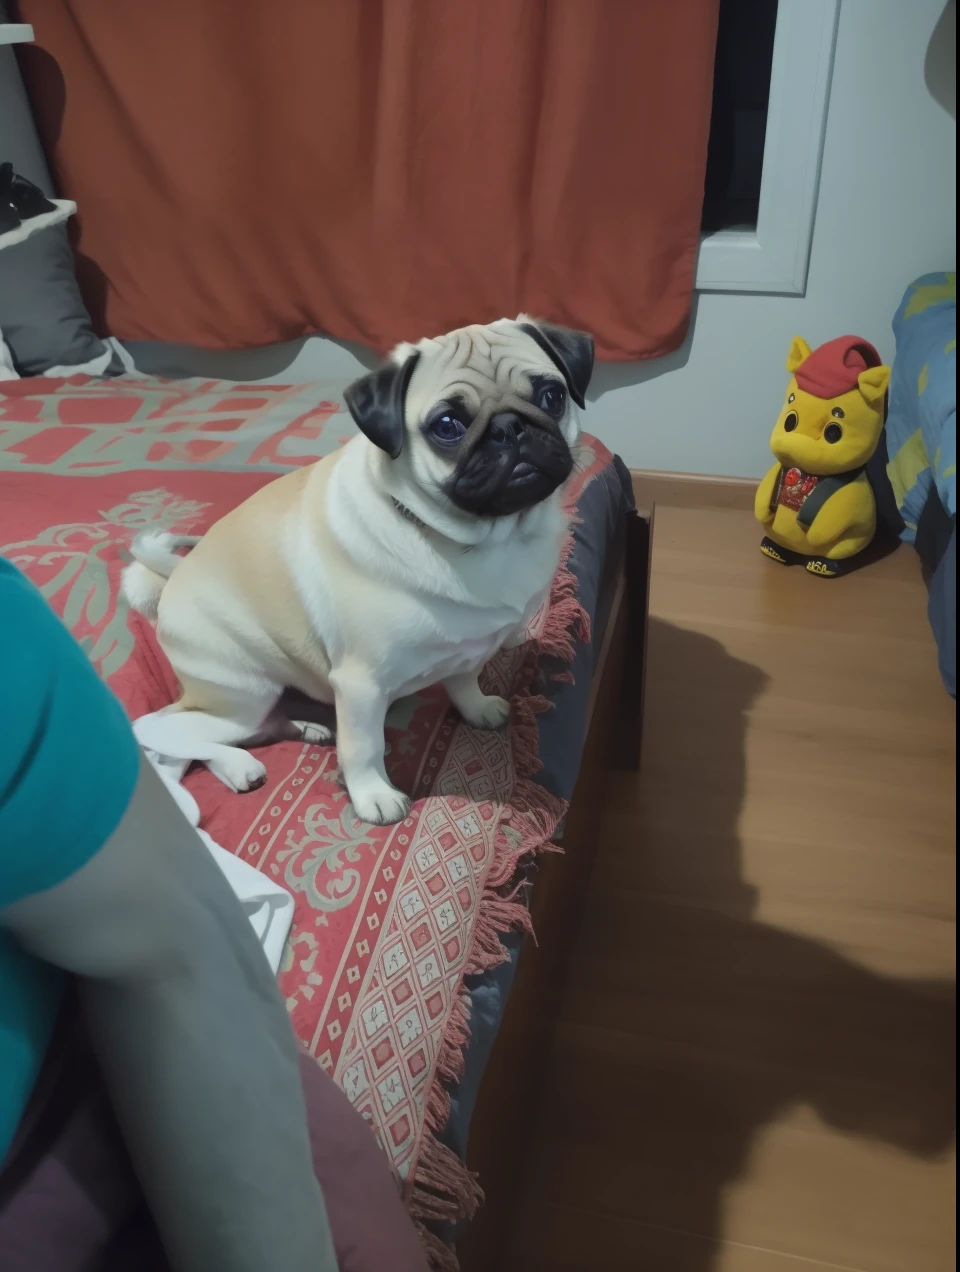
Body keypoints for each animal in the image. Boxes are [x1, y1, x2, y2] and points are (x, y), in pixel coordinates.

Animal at [122, 312, 592, 819]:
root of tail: (172, 580)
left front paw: (478, 708)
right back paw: (220, 776)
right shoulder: (360, 684)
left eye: (552, 396)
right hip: (242, 692)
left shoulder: (469, 649)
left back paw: (282, 739)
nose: (511, 427)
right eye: (447, 426)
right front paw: (373, 795)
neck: (486, 538)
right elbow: (364, 746)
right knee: (160, 733)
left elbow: (463, 681)